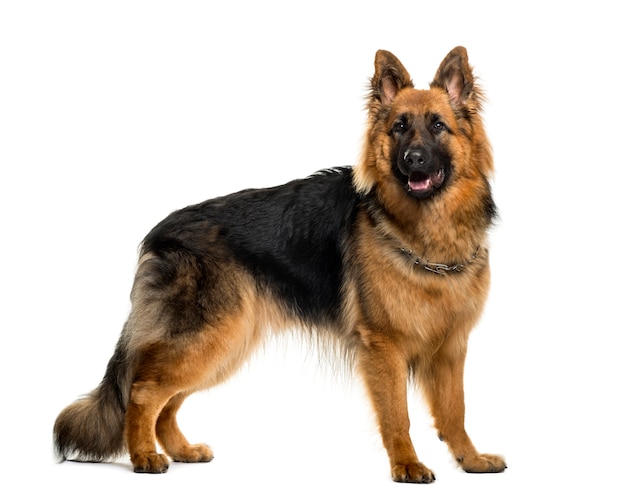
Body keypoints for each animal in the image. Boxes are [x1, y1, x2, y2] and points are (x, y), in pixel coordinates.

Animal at [52, 47, 502, 484]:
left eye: (438, 126)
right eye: (399, 128)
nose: (413, 159)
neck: (424, 238)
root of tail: (157, 234)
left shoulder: (451, 349)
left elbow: (455, 412)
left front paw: (470, 459)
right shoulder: (384, 348)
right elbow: (398, 416)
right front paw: (406, 465)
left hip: (224, 345)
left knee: (167, 400)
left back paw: (180, 450)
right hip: (211, 339)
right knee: (144, 390)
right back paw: (144, 456)